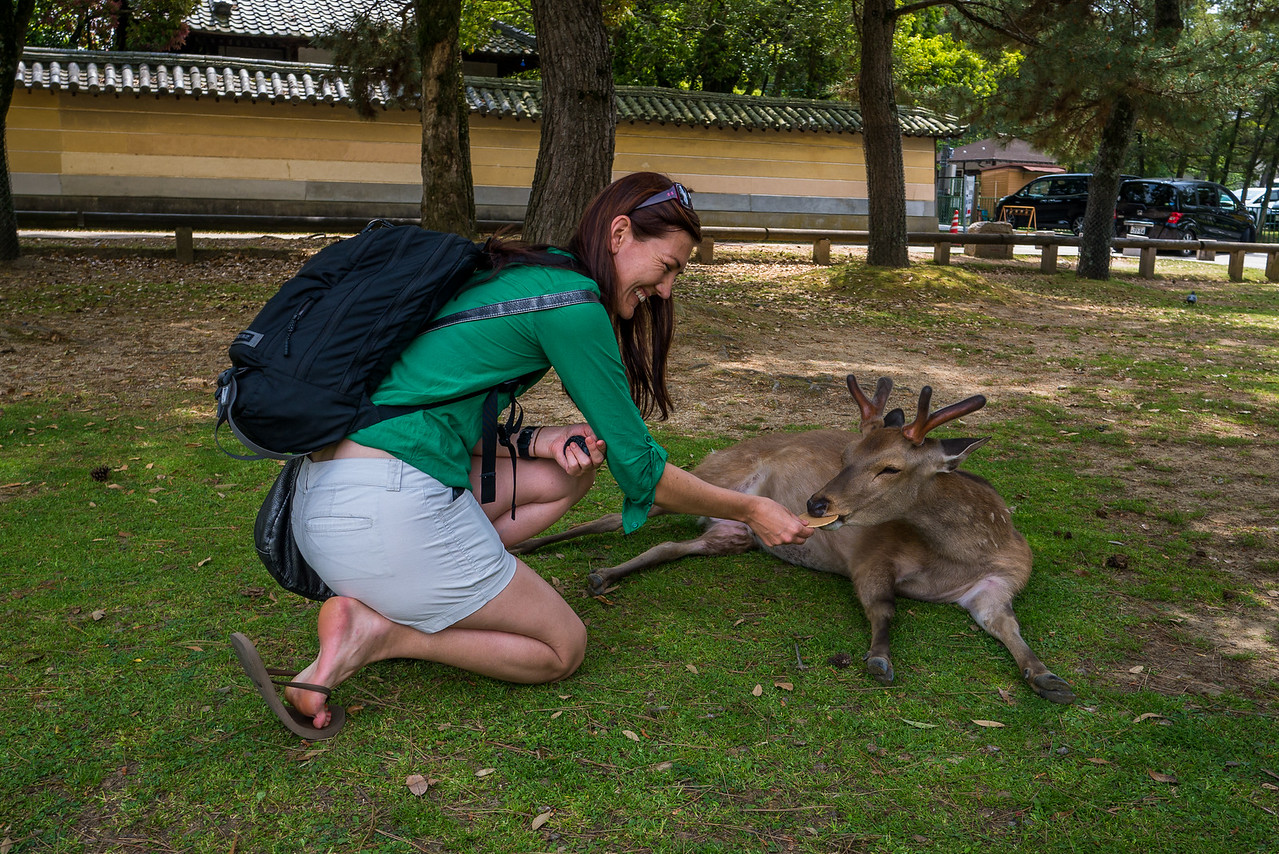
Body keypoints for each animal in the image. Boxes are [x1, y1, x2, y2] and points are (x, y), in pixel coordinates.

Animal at [513, 375, 1075, 704]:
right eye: (847, 453)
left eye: (890, 467)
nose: (816, 504)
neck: (958, 558)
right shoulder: (872, 555)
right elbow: (885, 607)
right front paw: (879, 659)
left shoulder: (997, 586)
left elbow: (1010, 629)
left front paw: (1048, 677)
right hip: (711, 480)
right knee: (618, 514)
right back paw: (531, 546)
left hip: (735, 533)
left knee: (673, 546)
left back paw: (603, 576)